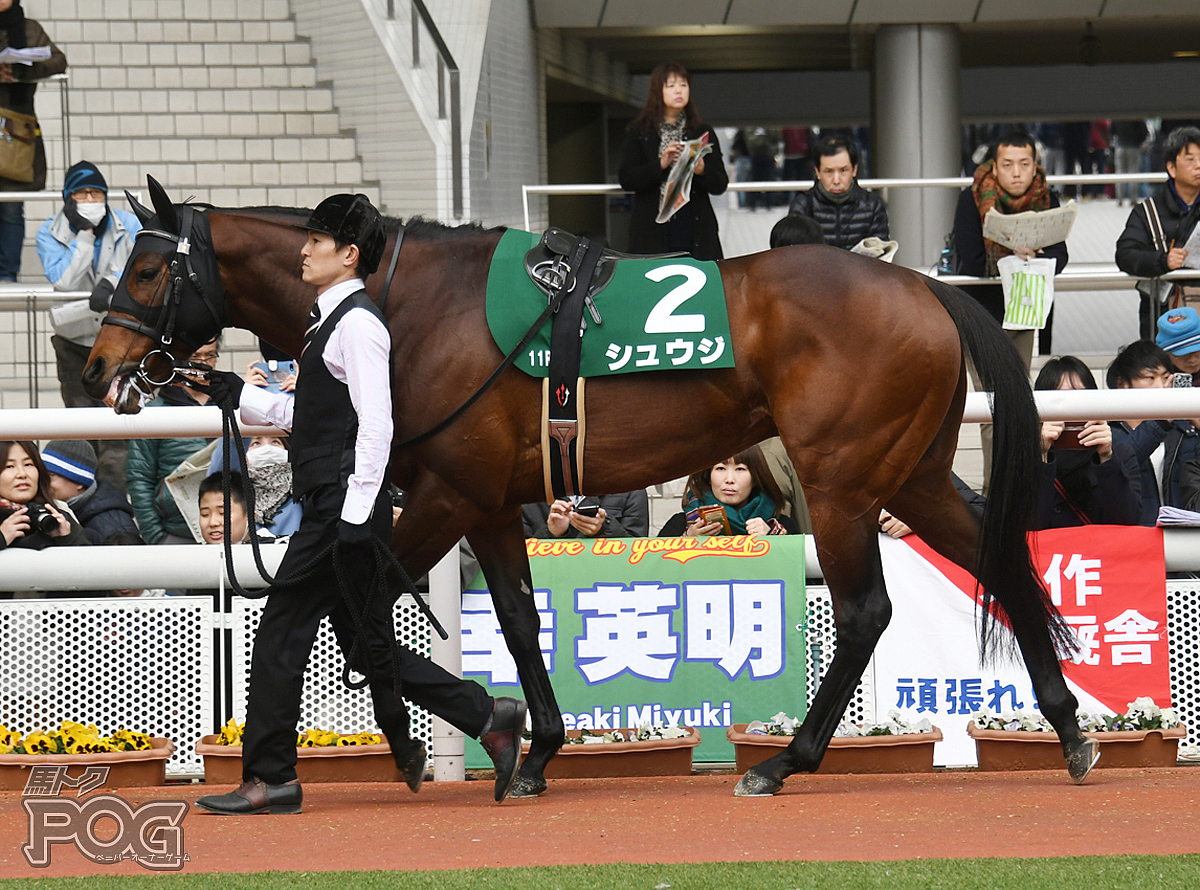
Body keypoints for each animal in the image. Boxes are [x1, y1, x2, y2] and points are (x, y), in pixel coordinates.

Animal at [82, 177, 1099, 796]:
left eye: (147, 267)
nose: (97, 367)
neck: (414, 307)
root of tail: (928, 291)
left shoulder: (445, 496)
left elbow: (350, 598)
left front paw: (421, 743)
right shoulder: (492, 504)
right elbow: (516, 619)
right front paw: (534, 746)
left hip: (844, 484)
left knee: (864, 612)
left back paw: (786, 762)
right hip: (915, 475)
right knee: (1003, 564)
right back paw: (1070, 729)